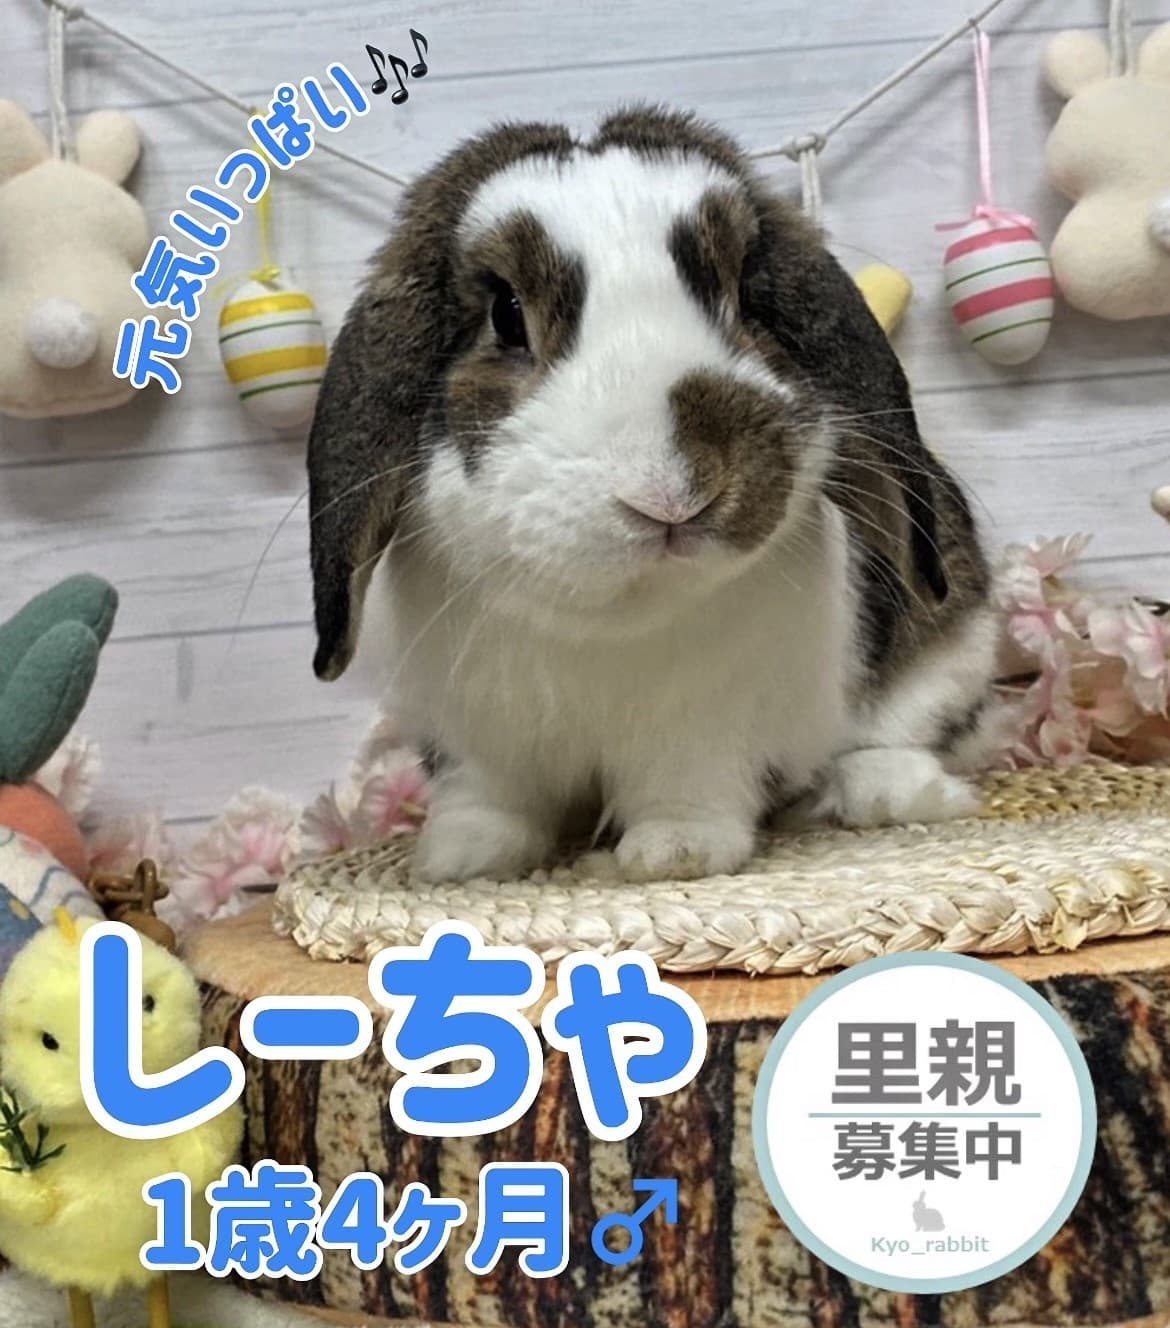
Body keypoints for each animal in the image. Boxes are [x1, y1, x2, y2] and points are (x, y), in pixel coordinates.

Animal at [306, 106, 999, 885]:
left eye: (742, 293)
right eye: (506, 315)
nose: (676, 489)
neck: (608, 617)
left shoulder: (706, 728)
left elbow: (688, 788)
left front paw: (675, 851)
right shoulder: (474, 733)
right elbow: (487, 797)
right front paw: (460, 858)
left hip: (955, 647)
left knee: (901, 733)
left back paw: (883, 794)